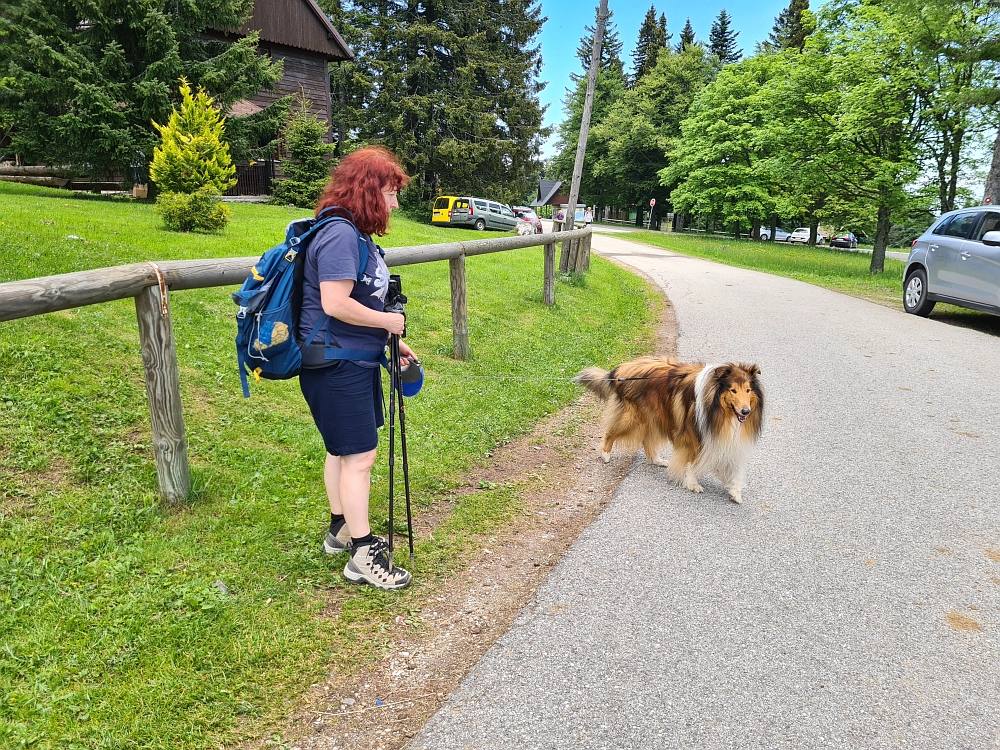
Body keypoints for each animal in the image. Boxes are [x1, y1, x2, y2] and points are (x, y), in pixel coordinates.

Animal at [576, 358, 760, 506]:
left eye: (748, 390)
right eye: (733, 390)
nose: (745, 411)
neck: (719, 410)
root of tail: (621, 369)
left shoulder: (719, 438)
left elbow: (731, 466)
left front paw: (734, 490)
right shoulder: (693, 435)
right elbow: (690, 461)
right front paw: (692, 484)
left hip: (655, 417)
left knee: (647, 439)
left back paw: (657, 460)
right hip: (633, 419)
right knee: (610, 432)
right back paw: (605, 454)